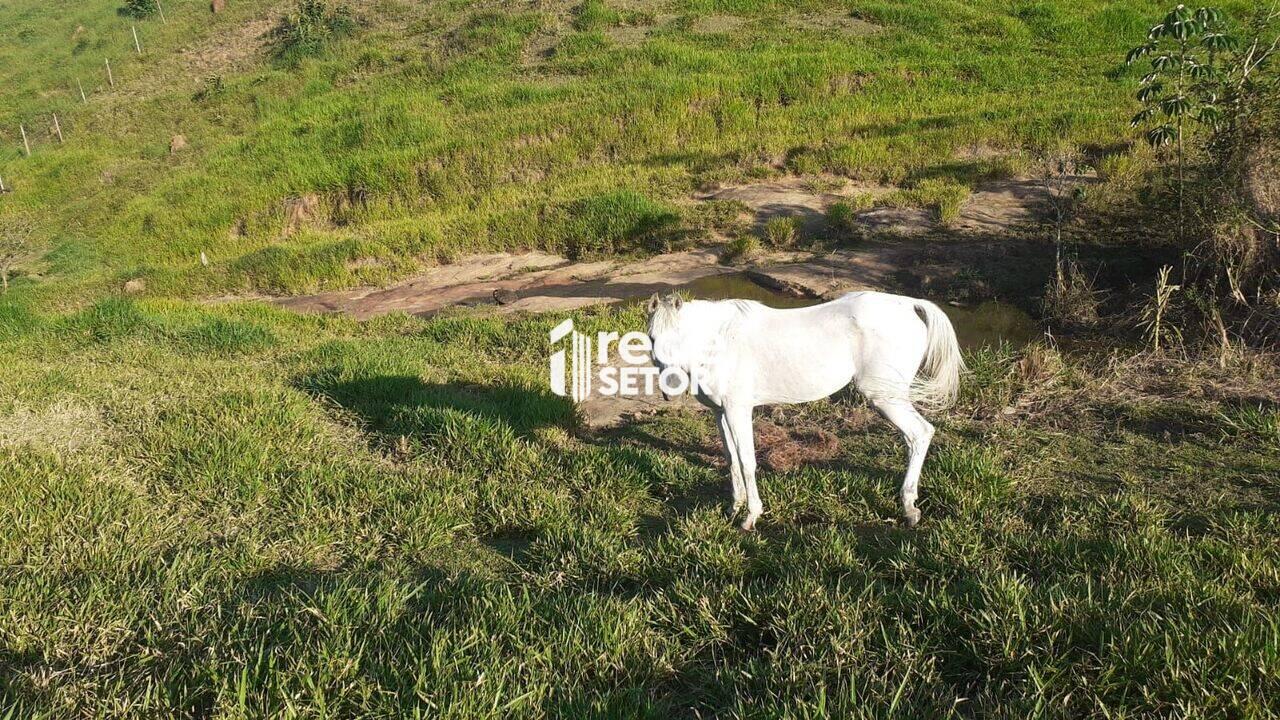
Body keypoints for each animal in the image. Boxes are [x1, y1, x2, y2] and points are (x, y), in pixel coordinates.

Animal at [650, 288, 962, 530]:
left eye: (680, 336)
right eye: (652, 338)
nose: (670, 387)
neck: (719, 342)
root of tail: (909, 304)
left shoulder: (738, 409)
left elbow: (748, 462)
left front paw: (750, 517)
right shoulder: (720, 413)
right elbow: (731, 459)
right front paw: (733, 508)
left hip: (886, 397)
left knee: (920, 434)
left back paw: (909, 508)